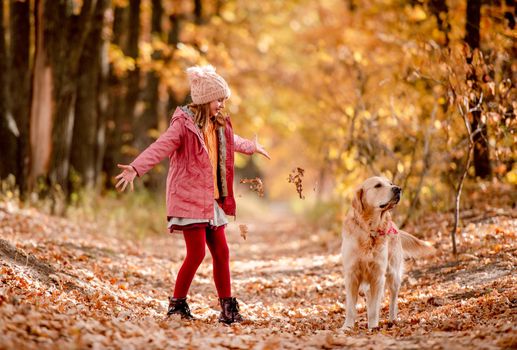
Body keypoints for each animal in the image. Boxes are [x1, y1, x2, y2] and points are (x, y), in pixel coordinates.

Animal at [340, 176, 434, 330]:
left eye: (390, 183)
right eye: (378, 185)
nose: (398, 188)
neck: (369, 230)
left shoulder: (378, 275)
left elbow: (374, 308)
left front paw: (373, 327)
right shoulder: (351, 275)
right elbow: (351, 308)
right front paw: (347, 327)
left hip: (393, 274)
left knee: (393, 300)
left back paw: (392, 320)